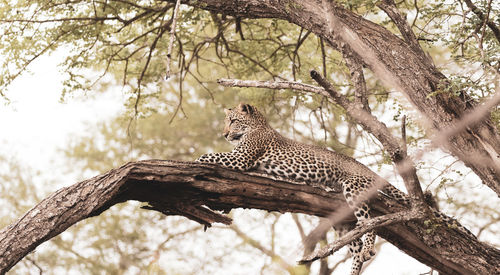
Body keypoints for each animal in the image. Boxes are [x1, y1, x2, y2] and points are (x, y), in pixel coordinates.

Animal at [196, 103, 476, 275]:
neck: (258, 125)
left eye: (233, 121)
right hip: (343, 221)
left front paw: (191, 162)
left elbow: (207, 155)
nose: (224, 134)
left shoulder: (241, 159)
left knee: (370, 225)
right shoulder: (242, 161)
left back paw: (369, 247)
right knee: (355, 245)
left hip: (353, 189)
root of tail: (367, 169)